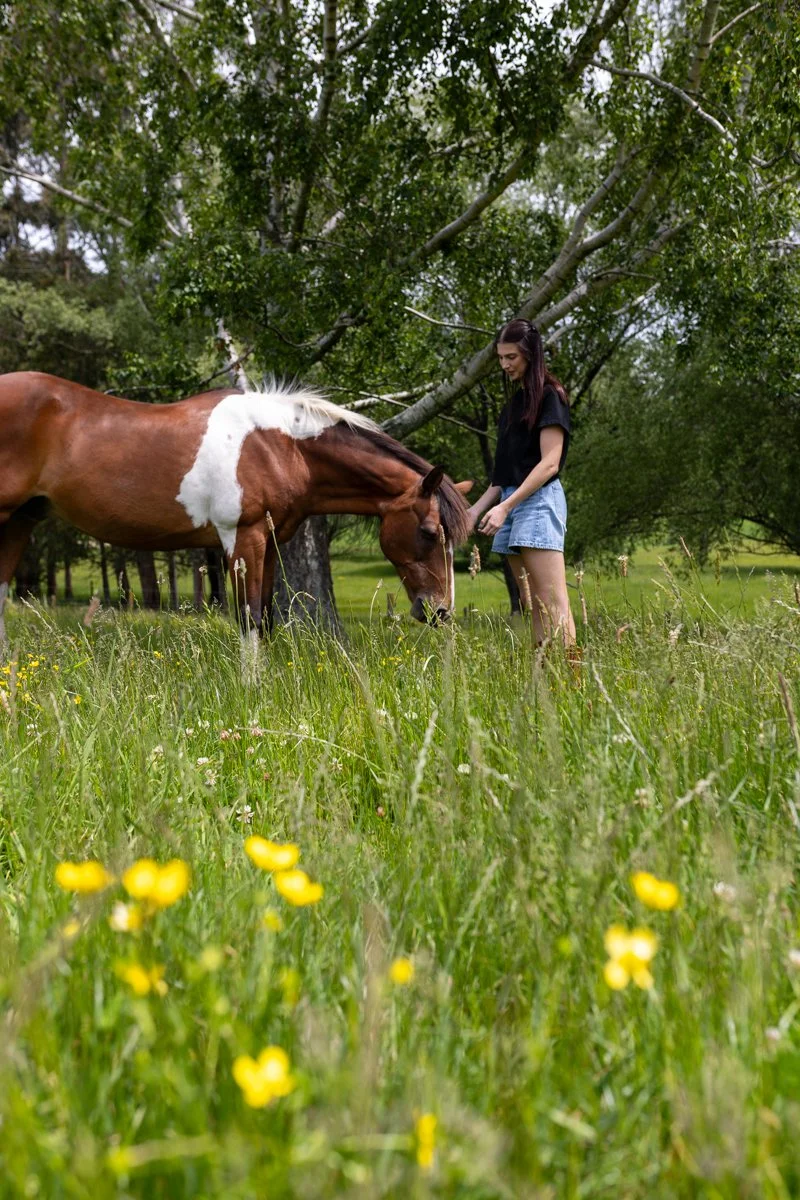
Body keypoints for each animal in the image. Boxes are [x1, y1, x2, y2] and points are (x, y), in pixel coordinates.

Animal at [0, 372, 472, 643]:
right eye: (430, 532)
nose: (440, 611)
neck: (279, 446)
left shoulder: (270, 545)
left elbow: (265, 619)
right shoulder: (242, 539)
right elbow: (248, 621)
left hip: (20, 522)